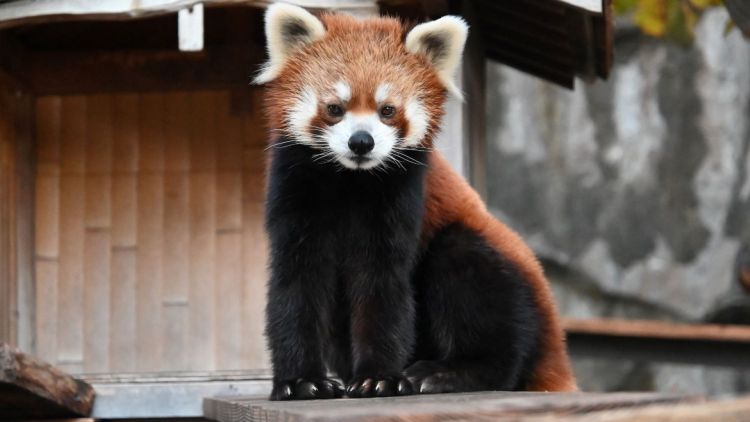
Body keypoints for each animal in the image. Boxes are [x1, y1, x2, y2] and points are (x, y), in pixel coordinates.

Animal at [256, 2, 580, 398]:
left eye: (388, 110)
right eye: (334, 108)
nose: (361, 141)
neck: (350, 180)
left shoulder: (401, 196)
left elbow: (383, 283)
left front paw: (377, 377)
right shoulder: (295, 191)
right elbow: (297, 282)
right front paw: (302, 380)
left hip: (503, 274)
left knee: (474, 287)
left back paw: (446, 373)